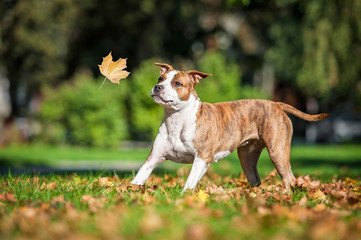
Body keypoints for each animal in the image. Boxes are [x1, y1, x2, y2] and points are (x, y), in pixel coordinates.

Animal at [130, 63, 330, 193]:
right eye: (160, 78)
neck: (176, 119)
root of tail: (276, 104)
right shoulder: (153, 158)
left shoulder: (202, 158)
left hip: (278, 151)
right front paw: (129, 193)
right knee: (255, 179)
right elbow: (138, 178)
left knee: (289, 177)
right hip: (247, 157)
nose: (157, 87)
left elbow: (189, 183)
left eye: (177, 83)